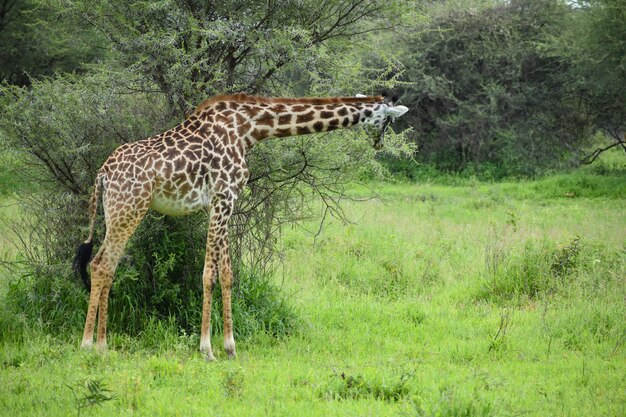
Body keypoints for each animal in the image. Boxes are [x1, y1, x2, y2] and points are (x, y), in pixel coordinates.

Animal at [74, 92, 404, 360]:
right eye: (388, 120)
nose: (379, 143)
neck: (250, 129)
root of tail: (103, 173)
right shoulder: (222, 198)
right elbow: (209, 275)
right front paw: (206, 349)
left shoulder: (224, 203)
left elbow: (228, 274)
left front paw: (230, 347)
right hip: (129, 209)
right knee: (101, 265)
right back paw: (89, 345)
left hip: (119, 212)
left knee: (106, 266)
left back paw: (102, 345)